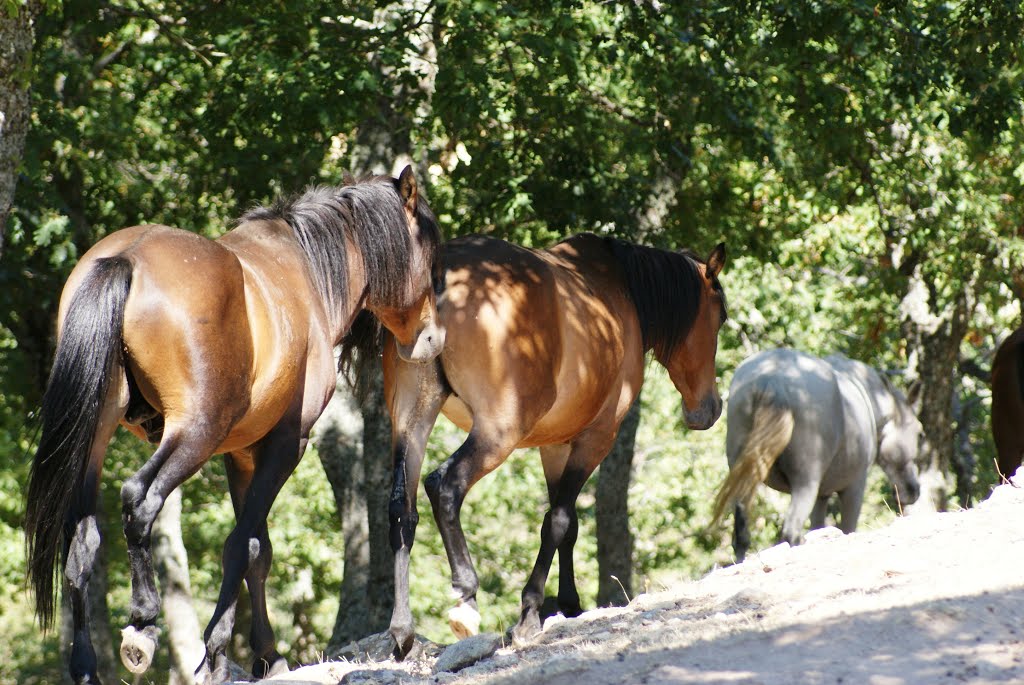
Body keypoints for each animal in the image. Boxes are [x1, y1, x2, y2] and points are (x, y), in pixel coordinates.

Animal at [25, 166, 442, 683]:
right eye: (431, 254)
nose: (431, 337)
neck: (305, 270)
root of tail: (126, 259)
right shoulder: (286, 444)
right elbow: (243, 545)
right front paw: (219, 651)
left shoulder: (241, 454)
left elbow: (258, 550)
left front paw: (265, 653)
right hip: (193, 434)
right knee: (139, 499)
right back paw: (143, 619)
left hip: (97, 438)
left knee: (82, 539)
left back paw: (85, 665)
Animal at [348, 232, 724, 655]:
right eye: (720, 318)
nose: (709, 409)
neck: (620, 291)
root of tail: (442, 271)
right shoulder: (596, 439)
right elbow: (557, 521)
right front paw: (531, 612)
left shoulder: (555, 446)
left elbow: (569, 524)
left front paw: (570, 603)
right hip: (497, 434)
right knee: (443, 487)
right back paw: (466, 597)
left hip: (412, 423)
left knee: (402, 509)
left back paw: (402, 629)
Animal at [712, 348, 921, 561]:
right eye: (919, 433)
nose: (913, 490)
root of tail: (772, 381)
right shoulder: (854, 487)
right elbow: (847, 528)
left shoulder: (822, 495)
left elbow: (818, 527)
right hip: (805, 484)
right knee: (791, 530)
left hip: (744, 479)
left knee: (741, 537)